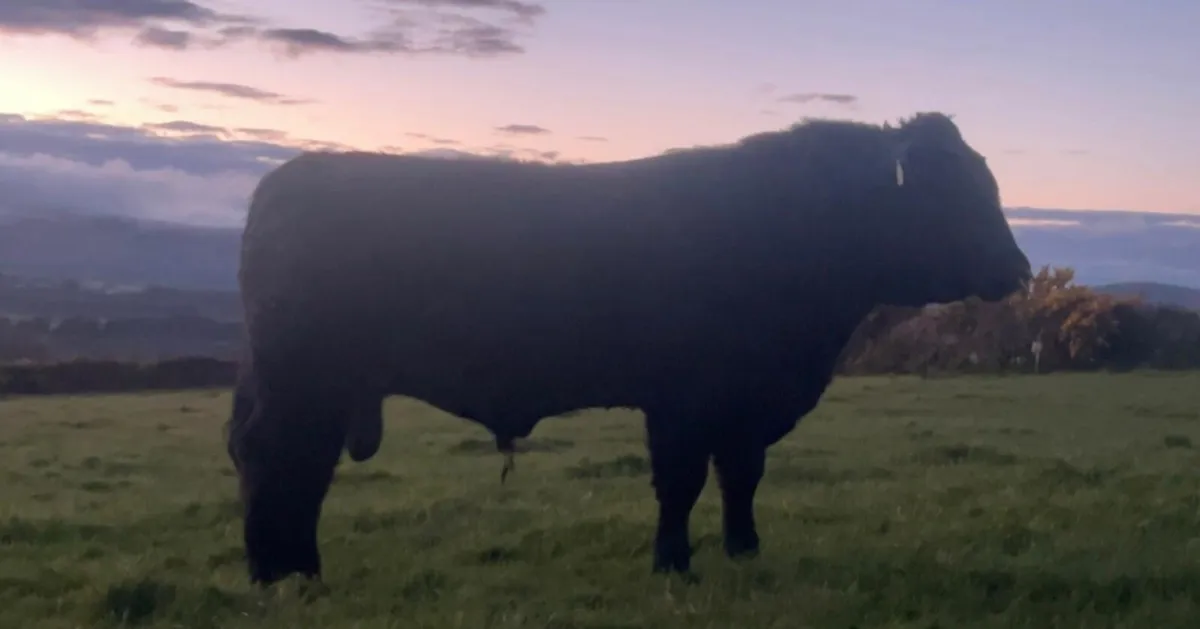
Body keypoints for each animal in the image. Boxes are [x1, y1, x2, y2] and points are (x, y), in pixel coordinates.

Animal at [225, 112, 1032, 586]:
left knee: (296, 464)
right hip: (303, 377)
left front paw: (744, 549)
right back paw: (280, 573)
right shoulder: (682, 399)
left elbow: (742, 477)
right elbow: (680, 483)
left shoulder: (749, 402)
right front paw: (673, 564)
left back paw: (293, 566)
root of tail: (283, 180)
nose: (1019, 269)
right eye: (956, 192)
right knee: (280, 458)